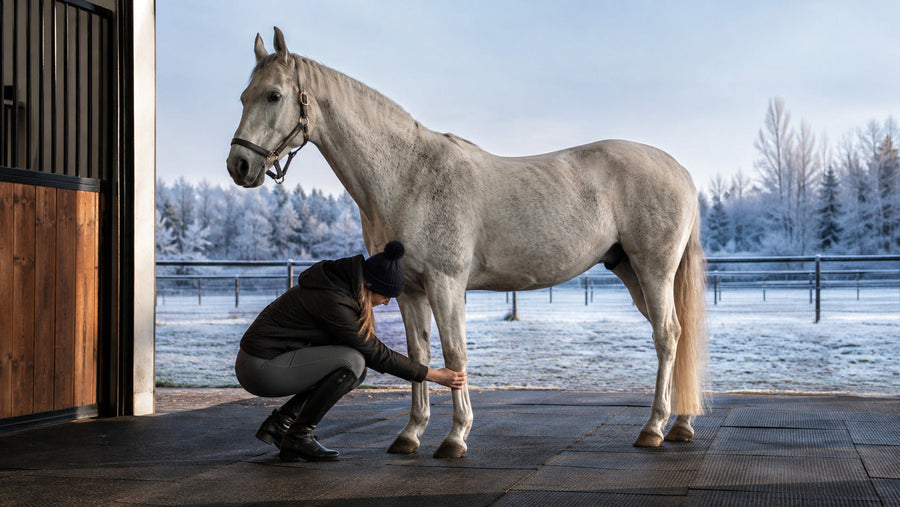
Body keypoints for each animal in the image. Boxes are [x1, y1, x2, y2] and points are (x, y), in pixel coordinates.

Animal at [226, 27, 708, 458]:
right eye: (243, 96)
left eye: (274, 96)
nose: (239, 165)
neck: (409, 176)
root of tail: (679, 169)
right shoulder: (410, 291)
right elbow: (417, 355)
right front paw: (410, 435)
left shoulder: (446, 284)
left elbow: (455, 355)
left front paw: (455, 437)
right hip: (630, 270)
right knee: (678, 335)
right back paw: (681, 424)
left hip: (653, 270)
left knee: (667, 335)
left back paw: (653, 428)